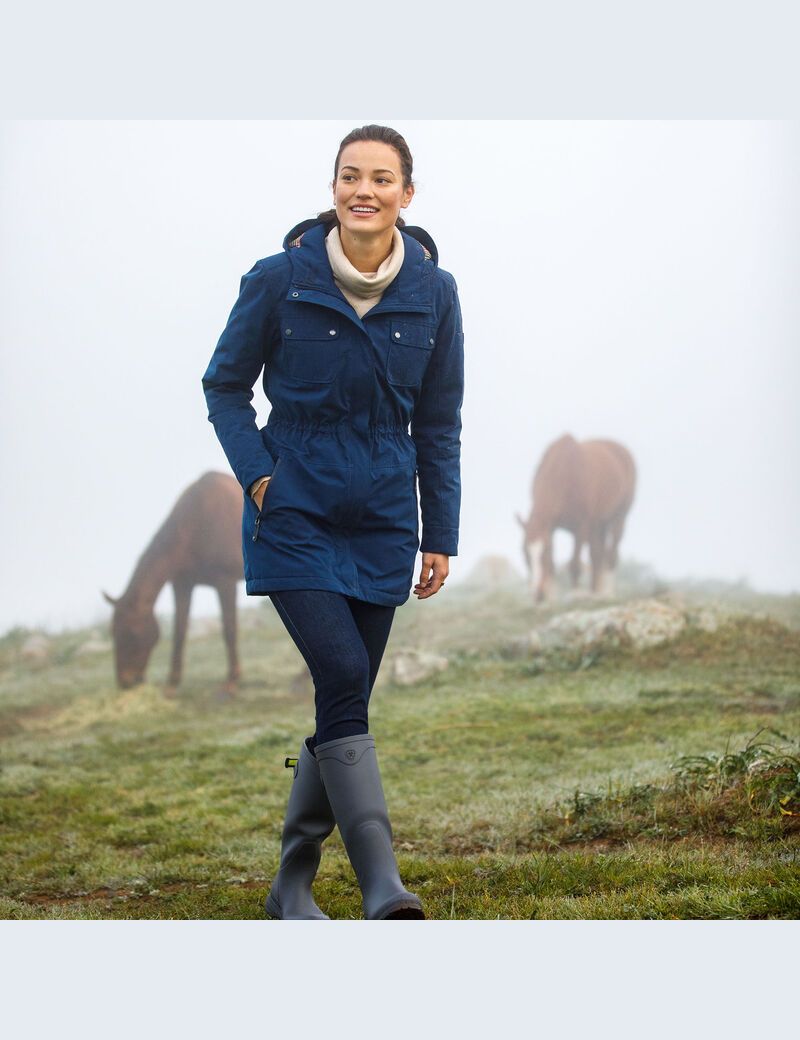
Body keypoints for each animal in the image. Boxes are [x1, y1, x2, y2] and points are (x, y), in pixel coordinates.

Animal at [104, 472, 245, 698]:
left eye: (131, 633)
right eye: (113, 632)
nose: (126, 682)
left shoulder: (226, 583)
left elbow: (229, 630)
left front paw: (231, 682)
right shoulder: (182, 585)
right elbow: (179, 630)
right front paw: (171, 684)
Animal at [518, 434, 636, 607]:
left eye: (544, 551)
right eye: (524, 553)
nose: (538, 594)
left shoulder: (581, 526)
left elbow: (574, 564)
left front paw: (574, 595)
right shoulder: (551, 528)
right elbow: (552, 564)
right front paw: (552, 599)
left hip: (619, 517)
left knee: (611, 554)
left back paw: (607, 594)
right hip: (598, 525)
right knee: (597, 555)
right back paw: (596, 593)